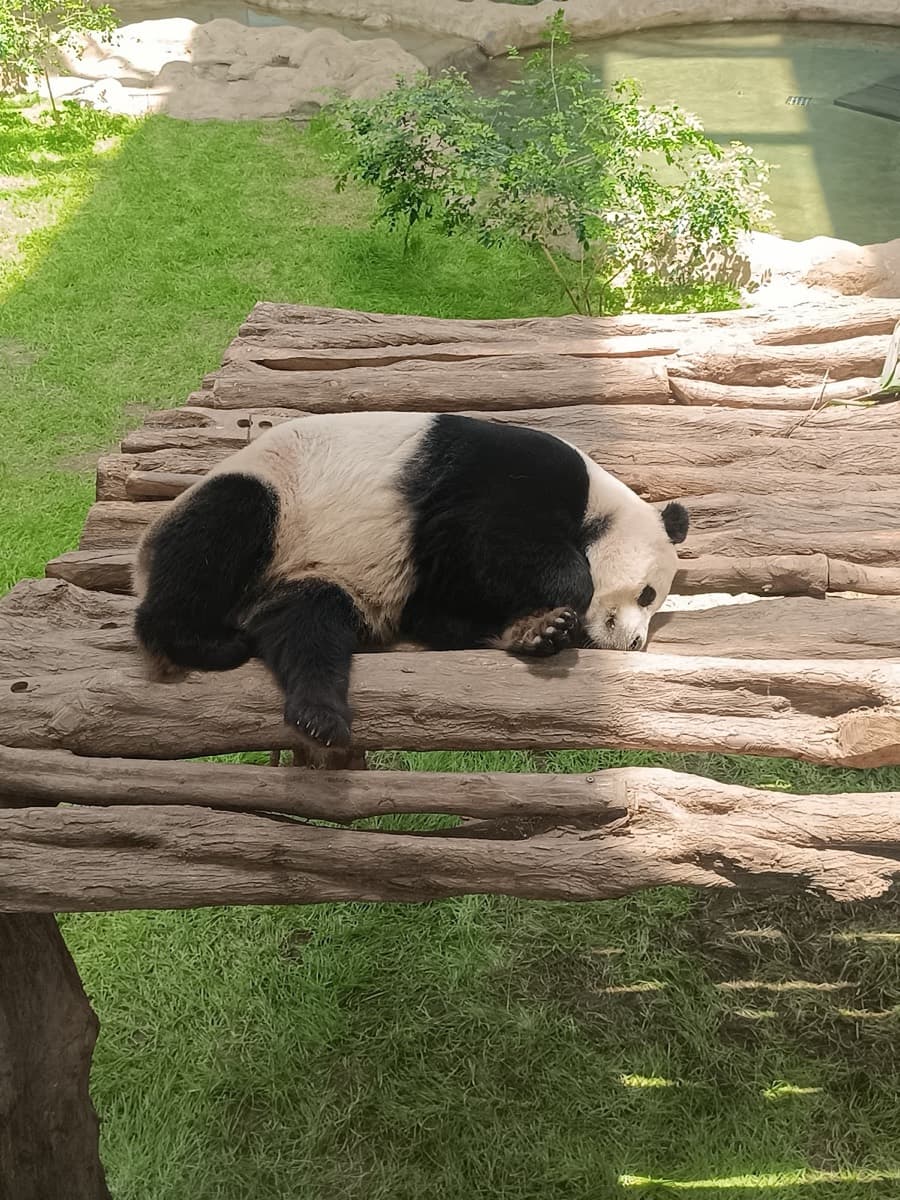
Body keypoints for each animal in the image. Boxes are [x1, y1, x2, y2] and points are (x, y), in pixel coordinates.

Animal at [134, 411, 689, 749]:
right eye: (647, 594)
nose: (635, 643)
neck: (598, 504)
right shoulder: (503, 481)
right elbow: (494, 540)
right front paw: (565, 602)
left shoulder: (428, 582)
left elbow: (441, 615)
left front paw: (539, 629)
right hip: (276, 499)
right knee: (221, 530)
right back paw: (202, 642)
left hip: (314, 573)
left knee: (306, 626)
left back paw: (319, 713)